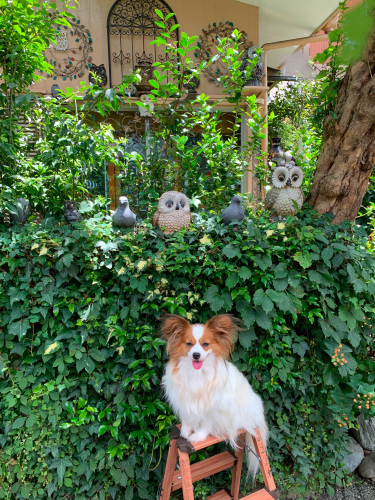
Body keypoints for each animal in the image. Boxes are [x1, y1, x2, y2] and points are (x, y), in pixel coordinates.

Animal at [160, 312, 268, 480]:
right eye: (189, 344)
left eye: (205, 344)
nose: (196, 355)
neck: (197, 373)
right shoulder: (186, 399)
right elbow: (188, 418)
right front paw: (185, 431)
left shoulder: (213, 406)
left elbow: (205, 424)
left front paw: (198, 436)